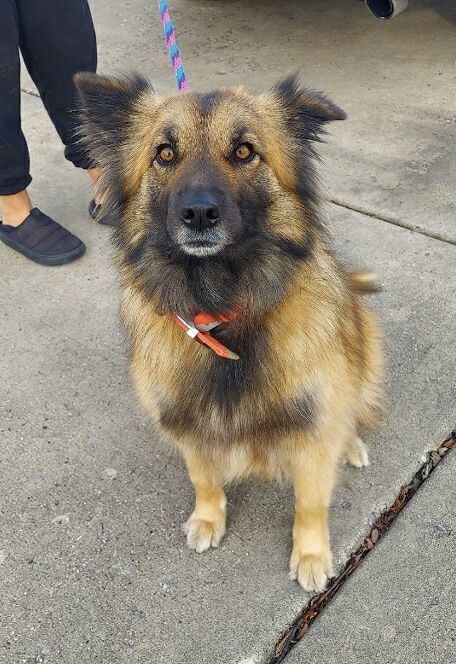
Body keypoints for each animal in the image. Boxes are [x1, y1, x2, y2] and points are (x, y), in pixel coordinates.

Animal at [76, 72, 382, 592]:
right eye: (165, 153)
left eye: (244, 151)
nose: (199, 214)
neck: (220, 307)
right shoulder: (186, 421)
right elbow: (203, 477)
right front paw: (208, 518)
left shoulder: (313, 428)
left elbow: (311, 502)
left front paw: (311, 555)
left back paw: (352, 445)